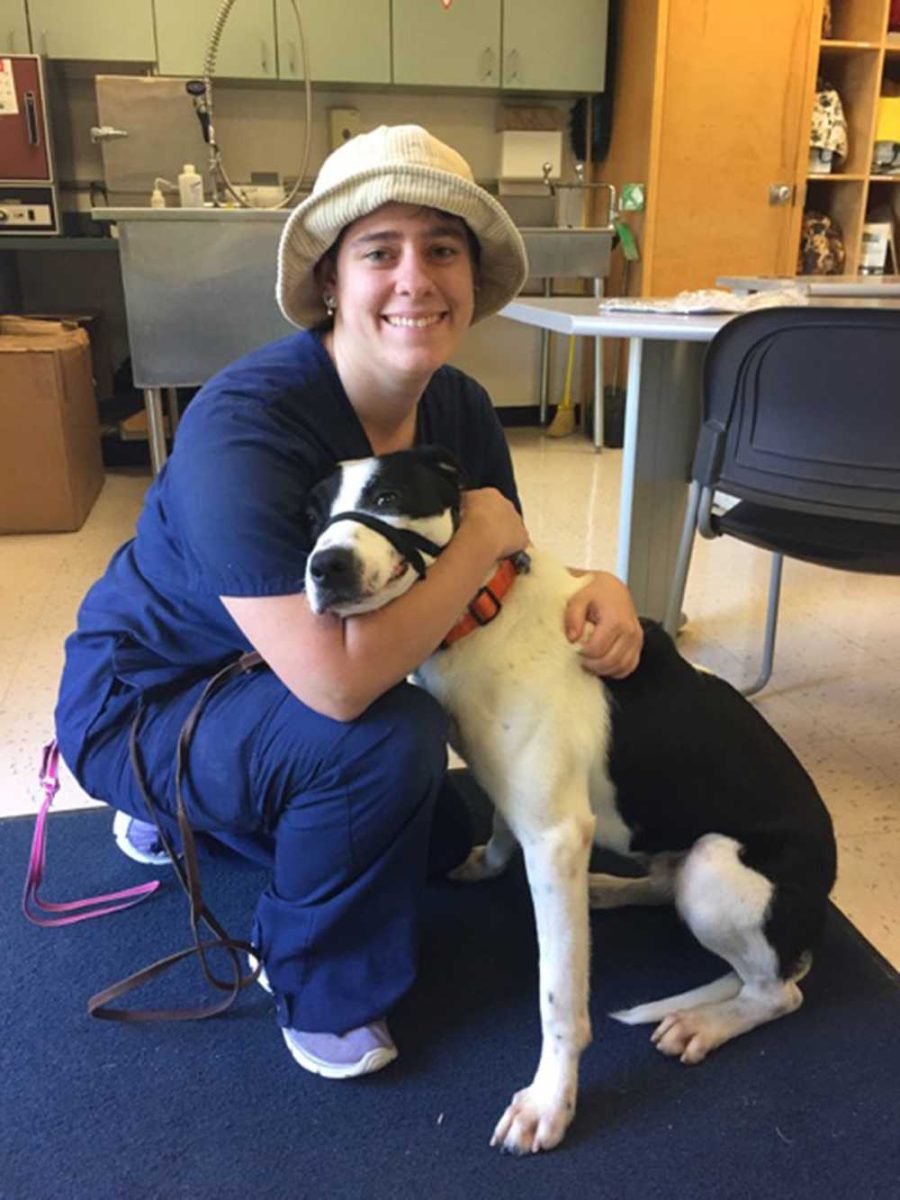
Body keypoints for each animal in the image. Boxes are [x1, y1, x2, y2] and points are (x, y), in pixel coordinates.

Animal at [307, 448, 844, 1152]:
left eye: (388, 496)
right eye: (311, 516)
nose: (325, 567)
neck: (482, 611)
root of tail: (815, 910)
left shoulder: (556, 836)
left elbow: (559, 996)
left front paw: (549, 1102)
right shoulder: (527, 807)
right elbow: (502, 826)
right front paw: (487, 863)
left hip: (718, 870)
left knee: (776, 994)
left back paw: (706, 1022)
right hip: (684, 865)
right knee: (668, 887)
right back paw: (606, 890)